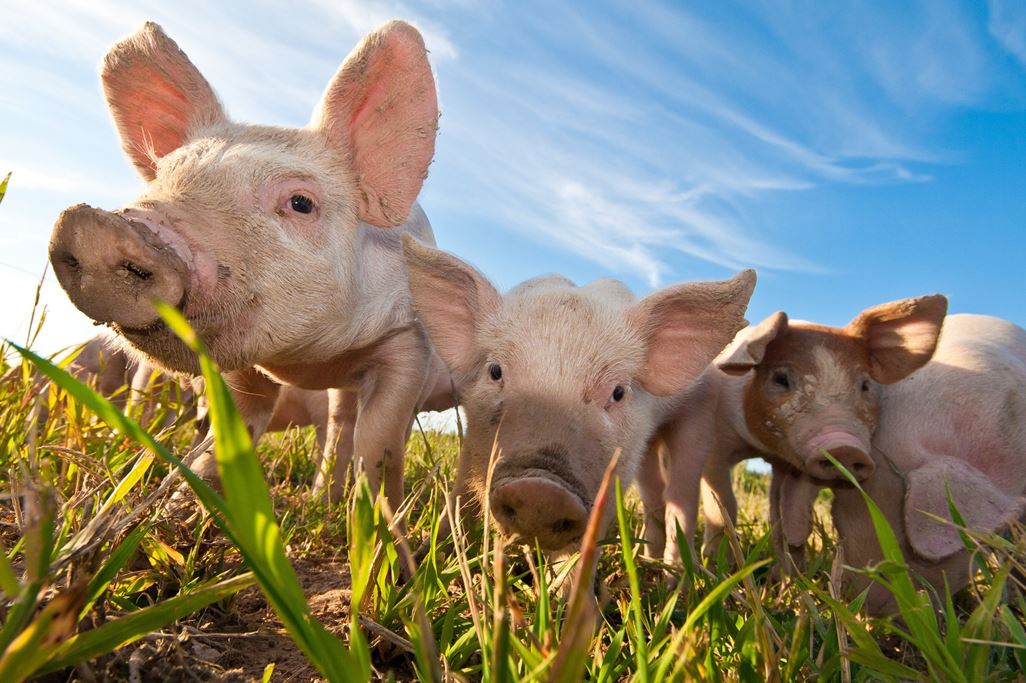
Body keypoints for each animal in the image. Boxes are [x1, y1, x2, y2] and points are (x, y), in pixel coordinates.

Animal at [47, 20, 445, 509]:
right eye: (163, 178)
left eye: (300, 203)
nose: (98, 228)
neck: (306, 362)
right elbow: (236, 425)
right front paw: (193, 499)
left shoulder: (409, 343)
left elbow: (379, 445)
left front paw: (382, 523)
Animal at [402, 234, 756, 553]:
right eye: (496, 371)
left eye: (618, 392)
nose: (540, 491)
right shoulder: (473, 440)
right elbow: (459, 498)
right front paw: (423, 559)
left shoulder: (614, 475)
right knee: (654, 494)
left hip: (700, 419)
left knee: (682, 497)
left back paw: (675, 573)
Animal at [638, 294, 950, 566]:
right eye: (781, 379)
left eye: (865, 385)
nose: (844, 447)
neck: (758, 447)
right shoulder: (716, 447)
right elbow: (724, 504)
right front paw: (718, 564)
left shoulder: (785, 463)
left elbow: (781, 519)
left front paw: (787, 577)